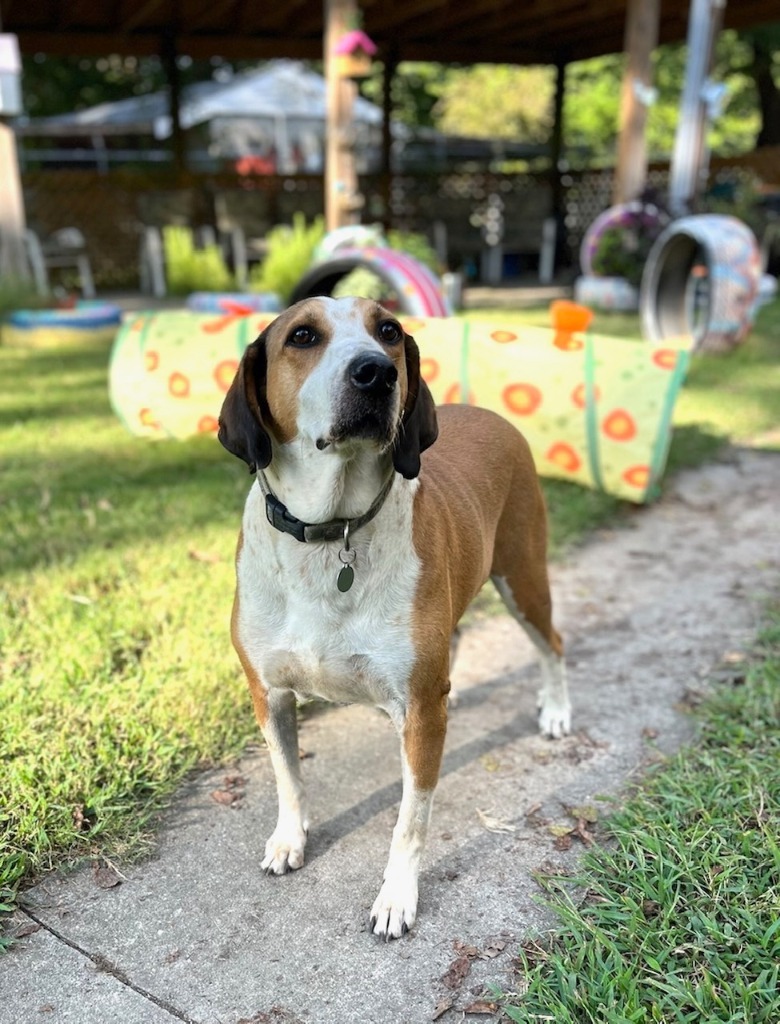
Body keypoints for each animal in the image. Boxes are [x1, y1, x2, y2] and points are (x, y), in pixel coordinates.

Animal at [215, 294, 569, 937]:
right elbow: (287, 777)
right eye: (302, 336)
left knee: (551, 642)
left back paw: (556, 709)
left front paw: (397, 896)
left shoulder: (421, 712)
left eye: (389, 330)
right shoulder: (268, 692)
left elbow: (410, 820)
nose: (376, 372)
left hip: (523, 579)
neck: (331, 532)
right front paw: (289, 839)